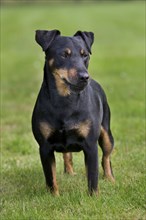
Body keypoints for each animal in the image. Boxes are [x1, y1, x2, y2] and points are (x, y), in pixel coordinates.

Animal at [31, 29, 114, 196]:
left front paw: (94, 197)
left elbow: (93, 176)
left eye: (85, 55)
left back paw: (110, 179)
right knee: (67, 154)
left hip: (107, 133)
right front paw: (54, 197)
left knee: (106, 157)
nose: (84, 77)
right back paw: (69, 172)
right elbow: (51, 177)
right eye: (64, 54)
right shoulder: (44, 147)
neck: (65, 100)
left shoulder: (90, 145)